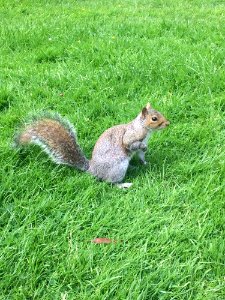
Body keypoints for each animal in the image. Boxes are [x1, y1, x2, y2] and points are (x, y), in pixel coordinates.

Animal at [14, 102, 170, 188]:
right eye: (154, 118)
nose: (168, 123)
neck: (144, 128)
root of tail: (92, 169)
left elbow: (141, 155)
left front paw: (145, 163)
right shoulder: (130, 137)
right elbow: (131, 145)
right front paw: (143, 148)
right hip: (117, 168)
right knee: (109, 182)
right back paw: (123, 184)